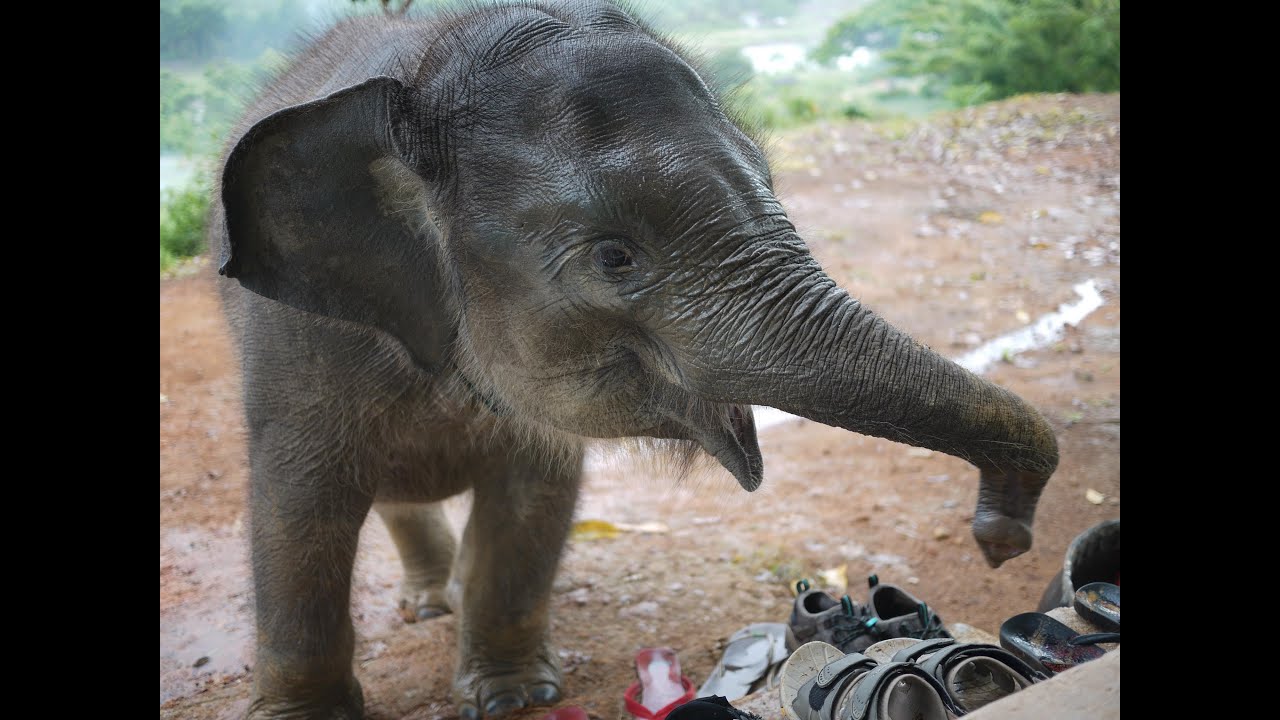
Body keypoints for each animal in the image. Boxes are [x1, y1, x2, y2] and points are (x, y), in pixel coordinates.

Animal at [210, 1, 1059, 717]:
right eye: (614, 256)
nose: (1001, 536)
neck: (428, 60)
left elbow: (532, 500)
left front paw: (514, 698)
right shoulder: (296, 340)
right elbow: (298, 508)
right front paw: (307, 716)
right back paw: (428, 605)